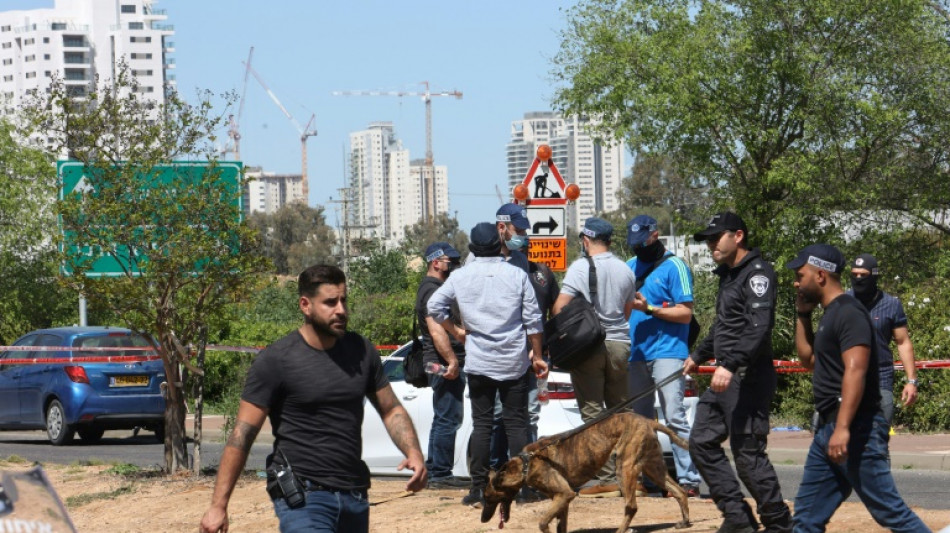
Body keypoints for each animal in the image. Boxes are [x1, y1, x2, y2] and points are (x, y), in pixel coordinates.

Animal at [484, 412, 692, 532]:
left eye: (488, 497)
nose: (483, 519)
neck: (526, 463)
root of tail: (648, 421)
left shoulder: (564, 494)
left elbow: (543, 523)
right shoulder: (562, 499)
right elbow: (561, 526)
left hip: (624, 468)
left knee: (631, 507)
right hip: (654, 469)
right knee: (679, 491)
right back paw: (685, 521)